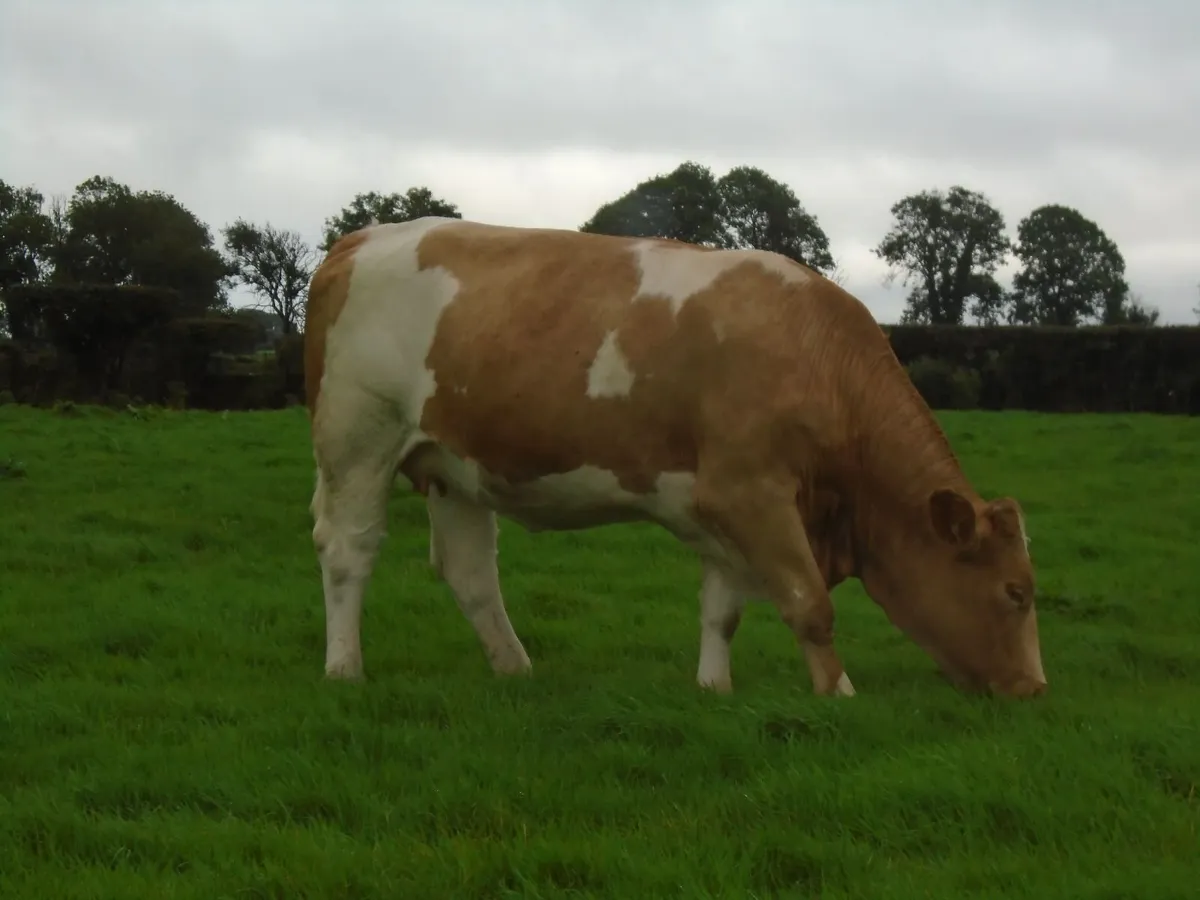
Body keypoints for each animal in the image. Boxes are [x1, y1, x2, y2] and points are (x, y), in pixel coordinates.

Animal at [303, 217, 1047, 699]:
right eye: (1015, 591)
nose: (1034, 689)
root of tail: (359, 239)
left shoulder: (719, 504)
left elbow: (724, 607)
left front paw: (714, 688)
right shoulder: (752, 491)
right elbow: (809, 602)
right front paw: (838, 692)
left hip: (454, 466)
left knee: (469, 572)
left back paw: (515, 668)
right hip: (359, 438)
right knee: (348, 551)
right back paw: (343, 667)